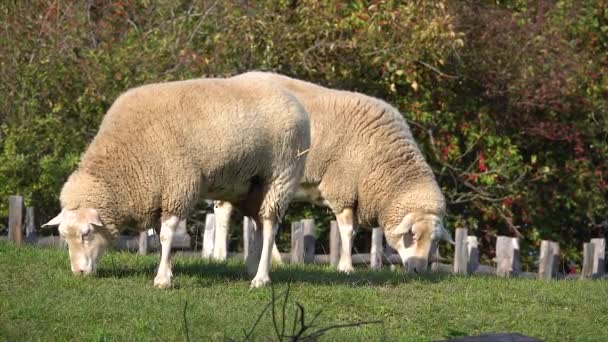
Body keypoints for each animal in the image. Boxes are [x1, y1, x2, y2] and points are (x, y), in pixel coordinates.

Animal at [41, 75, 314, 288]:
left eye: (86, 234)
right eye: (63, 236)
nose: (79, 273)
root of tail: (293, 100)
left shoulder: (177, 186)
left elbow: (166, 235)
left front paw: (162, 279)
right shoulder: (159, 193)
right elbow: (160, 237)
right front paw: (168, 270)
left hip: (281, 176)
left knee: (269, 227)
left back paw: (261, 278)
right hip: (250, 187)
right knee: (257, 225)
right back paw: (251, 269)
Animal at [213, 71, 452, 272]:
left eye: (435, 241)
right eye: (412, 234)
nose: (418, 271)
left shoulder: (354, 194)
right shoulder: (342, 187)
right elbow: (347, 231)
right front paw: (346, 267)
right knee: (223, 209)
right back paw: (219, 256)